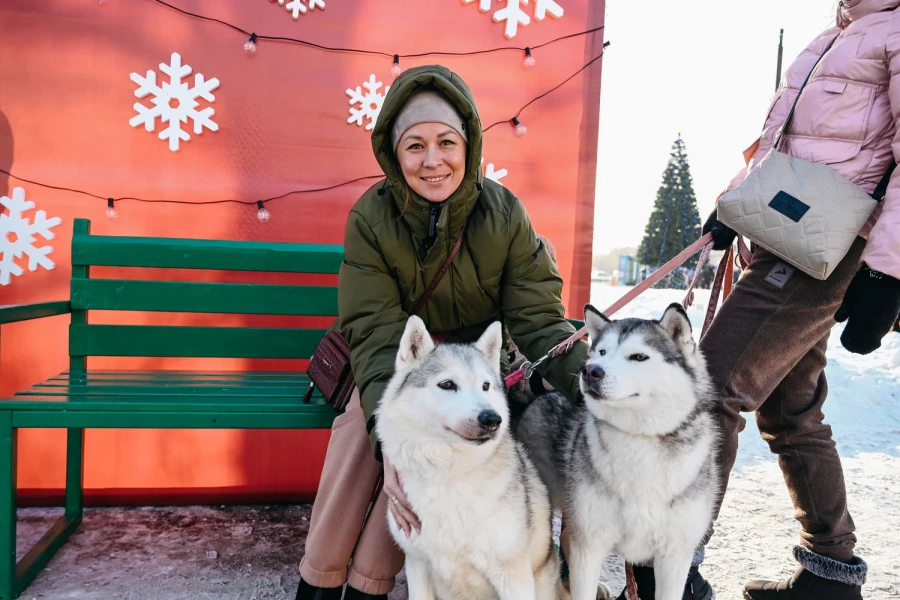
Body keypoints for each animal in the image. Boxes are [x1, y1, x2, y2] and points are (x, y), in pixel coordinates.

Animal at [374, 316, 576, 596]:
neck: (446, 477)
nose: (492, 419)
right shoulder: (417, 565)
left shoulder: (513, 576)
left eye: (485, 386)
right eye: (447, 384)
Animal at [516, 304, 720, 600]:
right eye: (602, 351)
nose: (590, 370)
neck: (639, 439)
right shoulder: (589, 544)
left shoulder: (675, 555)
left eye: (639, 357)